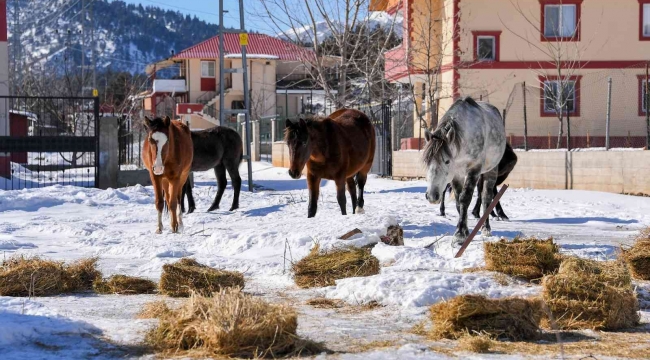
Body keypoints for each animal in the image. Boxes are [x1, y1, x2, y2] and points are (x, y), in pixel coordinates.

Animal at [420, 96, 506, 242]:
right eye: (427, 161)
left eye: (447, 161)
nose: (432, 196)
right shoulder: (457, 175)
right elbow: (458, 202)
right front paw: (464, 231)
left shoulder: (474, 170)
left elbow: (465, 198)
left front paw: (460, 234)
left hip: (491, 170)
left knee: (486, 198)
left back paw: (486, 229)